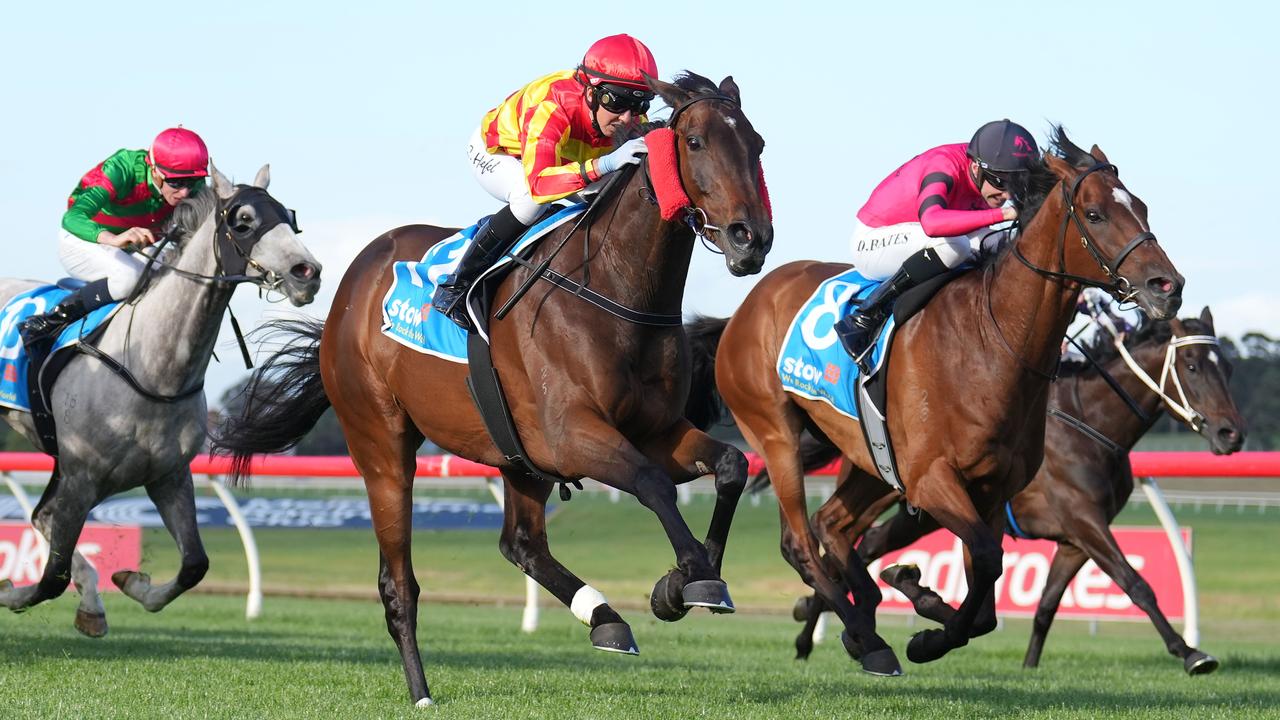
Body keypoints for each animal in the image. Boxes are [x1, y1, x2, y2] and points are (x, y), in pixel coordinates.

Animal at [216, 71, 768, 702]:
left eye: (756, 146)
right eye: (695, 142)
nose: (751, 238)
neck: (616, 290)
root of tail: (348, 294)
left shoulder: (653, 429)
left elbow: (729, 466)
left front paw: (684, 583)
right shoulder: (571, 435)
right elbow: (653, 484)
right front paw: (691, 579)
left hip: (517, 455)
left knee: (521, 543)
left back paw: (605, 619)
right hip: (382, 446)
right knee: (398, 583)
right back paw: (422, 691)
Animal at [686, 128, 1182, 671]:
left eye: (1142, 207)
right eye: (1094, 214)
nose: (1168, 286)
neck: (991, 342)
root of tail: (742, 310)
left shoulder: (990, 490)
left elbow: (985, 597)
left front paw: (921, 608)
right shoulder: (932, 480)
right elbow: (986, 560)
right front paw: (922, 625)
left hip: (869, 457)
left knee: (831, 524)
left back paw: (867, 613)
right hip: (776, 436)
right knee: (800, 541)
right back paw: (868, 638)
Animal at [783, 308, 1244, 671]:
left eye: (1227, 366)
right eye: (1192, 365)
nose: (1231, 434)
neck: (1090, 425)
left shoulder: (1074, 539)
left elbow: (1046, 605)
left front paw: (1029, 663)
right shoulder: (1085, 520)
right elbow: (1136, 584)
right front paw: (1190, 652)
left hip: (922, 513)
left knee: (868, 545)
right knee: (845, 544)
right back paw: (814, 635)